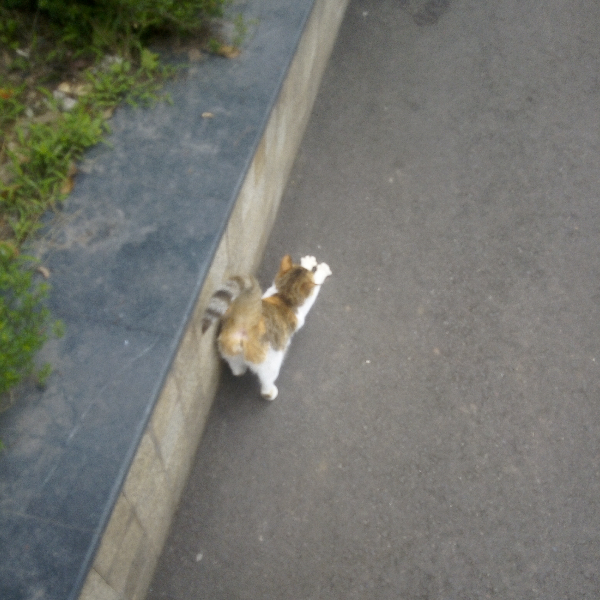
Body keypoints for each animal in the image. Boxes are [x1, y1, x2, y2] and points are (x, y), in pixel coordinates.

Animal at [202, 253, 332, 398]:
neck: (283, 295)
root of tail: (245, 321)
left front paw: (307, 263)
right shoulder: (305, 306)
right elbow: (316, 286)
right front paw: (321, 271)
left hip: (229, 351)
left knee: (236, 370)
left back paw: (240, 368)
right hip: (271, 363)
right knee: (266, 385)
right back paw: (271, 392)